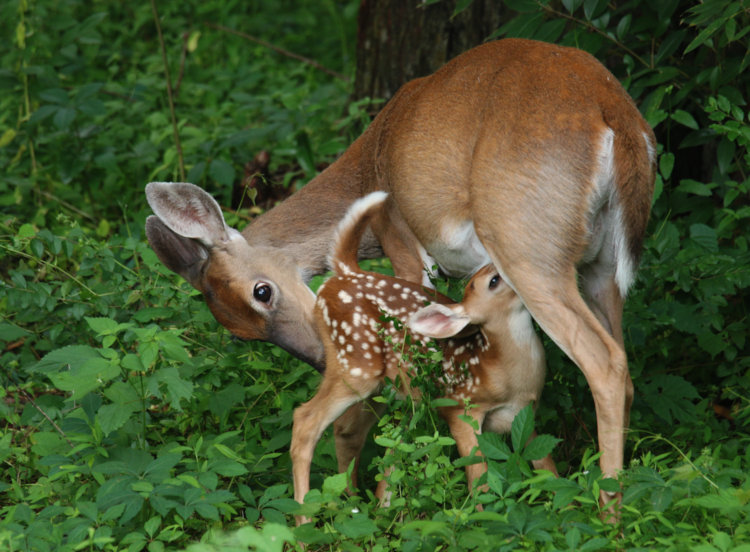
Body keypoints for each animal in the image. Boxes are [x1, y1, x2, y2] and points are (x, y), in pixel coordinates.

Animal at [291, 191, 557, 522]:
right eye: (494, 281)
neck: (503, 372)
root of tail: (344, 273)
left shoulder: (527, 414)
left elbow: (547, 467)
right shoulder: (460, 408)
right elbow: (478, 476)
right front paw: (481, 519)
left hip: (385, 389)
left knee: (353, 434)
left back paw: (359, 506)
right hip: (355, 365)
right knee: (305, 421)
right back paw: (304, 519)